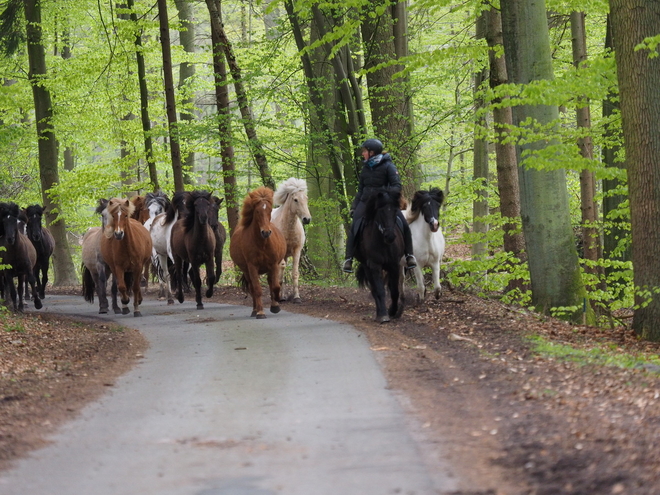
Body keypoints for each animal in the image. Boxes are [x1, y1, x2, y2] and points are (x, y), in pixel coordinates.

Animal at [229, 188, 286, 320]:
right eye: (257, 211)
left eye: (270, 210)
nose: (266, 232)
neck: (262, 243)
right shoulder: (252, 267)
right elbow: (257, 289)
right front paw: (260, 312)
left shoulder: (274, 264)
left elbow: (275, 286)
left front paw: (276, 303)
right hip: (246, 271)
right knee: (252, 288)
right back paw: (255, 310)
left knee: (270, 283)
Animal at [274, 176, 314, 304]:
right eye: (295, 200)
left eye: (306, 198)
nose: (307, 219)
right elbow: (281, 273)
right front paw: (281, 297)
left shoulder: (297, 251)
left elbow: (295, 273)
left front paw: (296, 297)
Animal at [354, 188, 404, 324]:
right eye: (381, 212)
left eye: (395, 211)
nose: (390, 236)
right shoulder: (375, 266)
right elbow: (380, 290)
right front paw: (384, 315)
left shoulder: (394, 265)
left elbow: (394, 290)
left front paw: (393, 310)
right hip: (367, 268)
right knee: (374, 290)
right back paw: (379, 313)